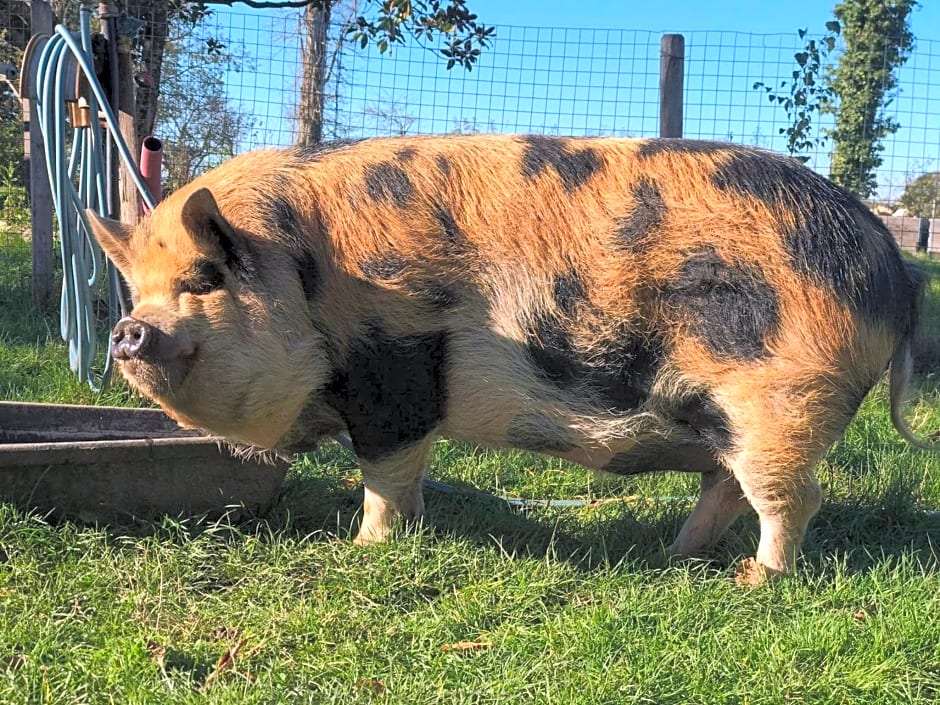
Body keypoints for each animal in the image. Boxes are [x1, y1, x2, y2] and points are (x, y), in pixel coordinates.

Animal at [88, 136, 932, 584]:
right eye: (138, 288)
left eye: (203, 279)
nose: (128, 330)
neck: (307, 277)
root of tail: (890, 260)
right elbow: (406, 480)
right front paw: (403, 535)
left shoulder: (396, 373)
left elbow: (384, 474)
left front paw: (365, 548)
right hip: (731, 416)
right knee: (726, 485)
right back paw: (675, 553)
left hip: (781, 400)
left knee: (794, 496)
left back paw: (751, 580)